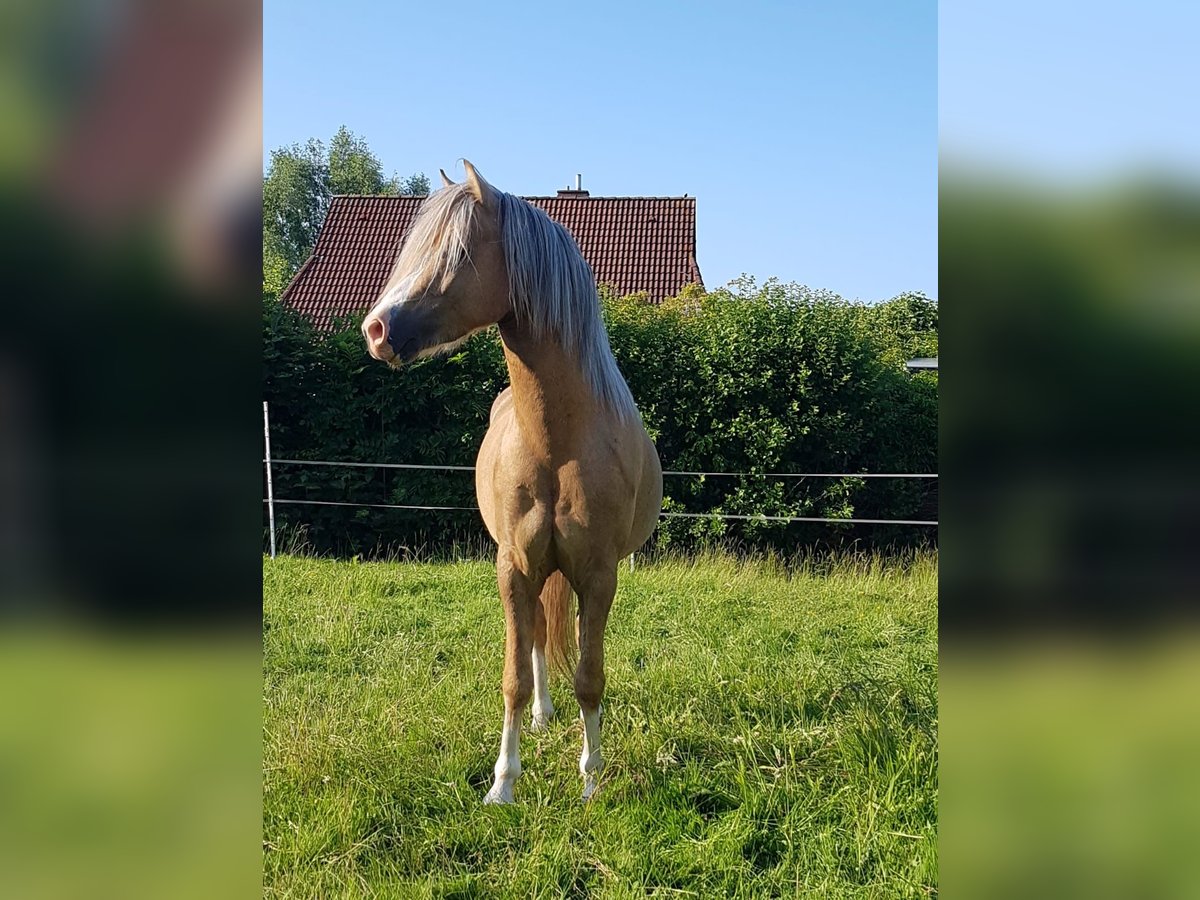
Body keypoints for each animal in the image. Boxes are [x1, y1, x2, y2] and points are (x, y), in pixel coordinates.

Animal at [362, 160, 667, 801]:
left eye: (458, 252)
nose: (375, 330)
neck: (558, 441)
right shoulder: (514, 567)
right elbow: (513, 676)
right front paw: (504, 783)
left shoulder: (598, 575)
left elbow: (589, 676)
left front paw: (591, 781)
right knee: (536, 643)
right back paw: (543, 717)